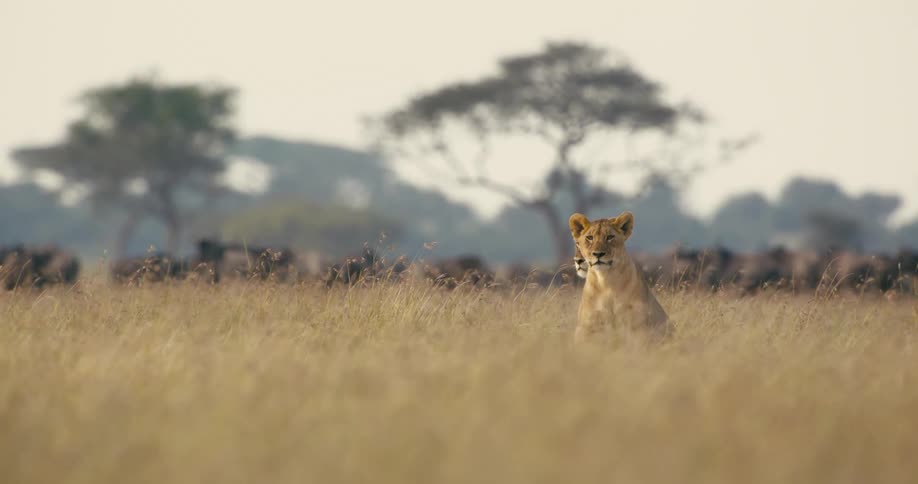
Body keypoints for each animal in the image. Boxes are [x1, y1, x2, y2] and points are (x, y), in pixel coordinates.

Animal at [569, 211, 669, 342]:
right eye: (589, 238)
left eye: (610, 237)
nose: (598, 254)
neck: (605, 281)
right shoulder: (586, 327)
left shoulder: (637, 326)